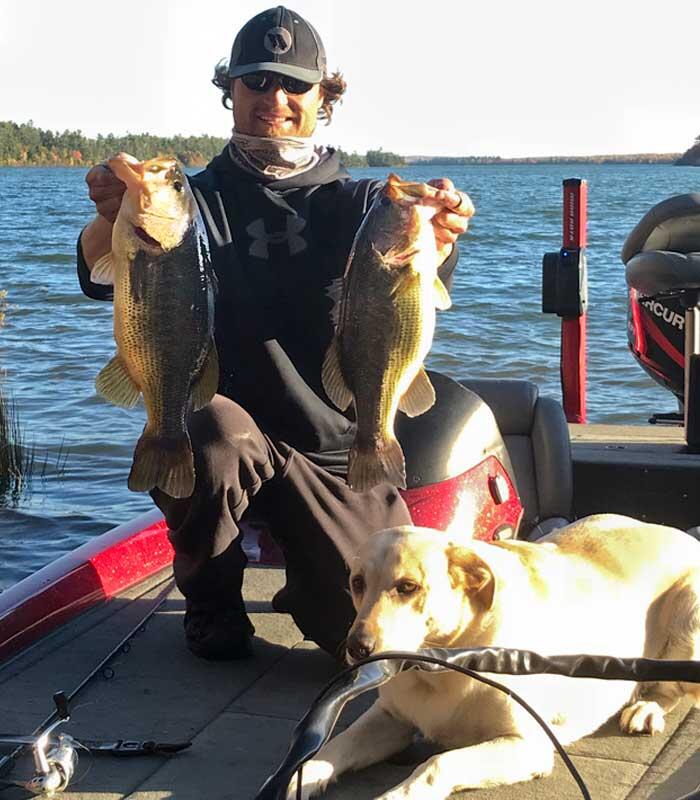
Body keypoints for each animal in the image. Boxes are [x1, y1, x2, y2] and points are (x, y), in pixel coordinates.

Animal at [288, 516, 700, 800]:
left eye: (408, 587)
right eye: (357, 583)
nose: (356, 648)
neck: (438, 667)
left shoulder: (528, 744)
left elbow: (438, 762)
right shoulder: (390, 719)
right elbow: (333, 747)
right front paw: (301, 778)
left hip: (687, 623)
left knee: (671, 687)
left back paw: (645, 707)